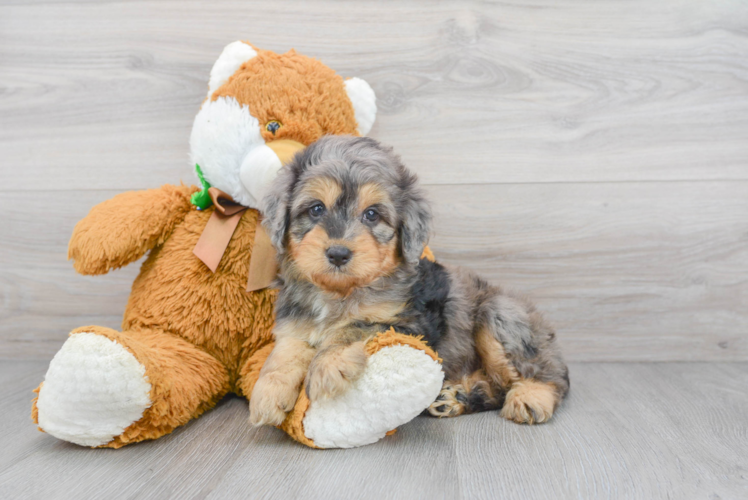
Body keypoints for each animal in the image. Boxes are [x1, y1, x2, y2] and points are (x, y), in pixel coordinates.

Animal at [248, 136, 568, 426]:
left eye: (372, 214)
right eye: (316, 209)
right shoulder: (295, 324)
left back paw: (530, 396)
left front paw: (328, 364)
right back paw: (456, 397)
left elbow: (353, 327)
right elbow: (284, 353)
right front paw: (267, 393)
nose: (338, 253)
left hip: (502, 316)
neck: (339, 293)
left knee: (542, 374)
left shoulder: (410, 325)